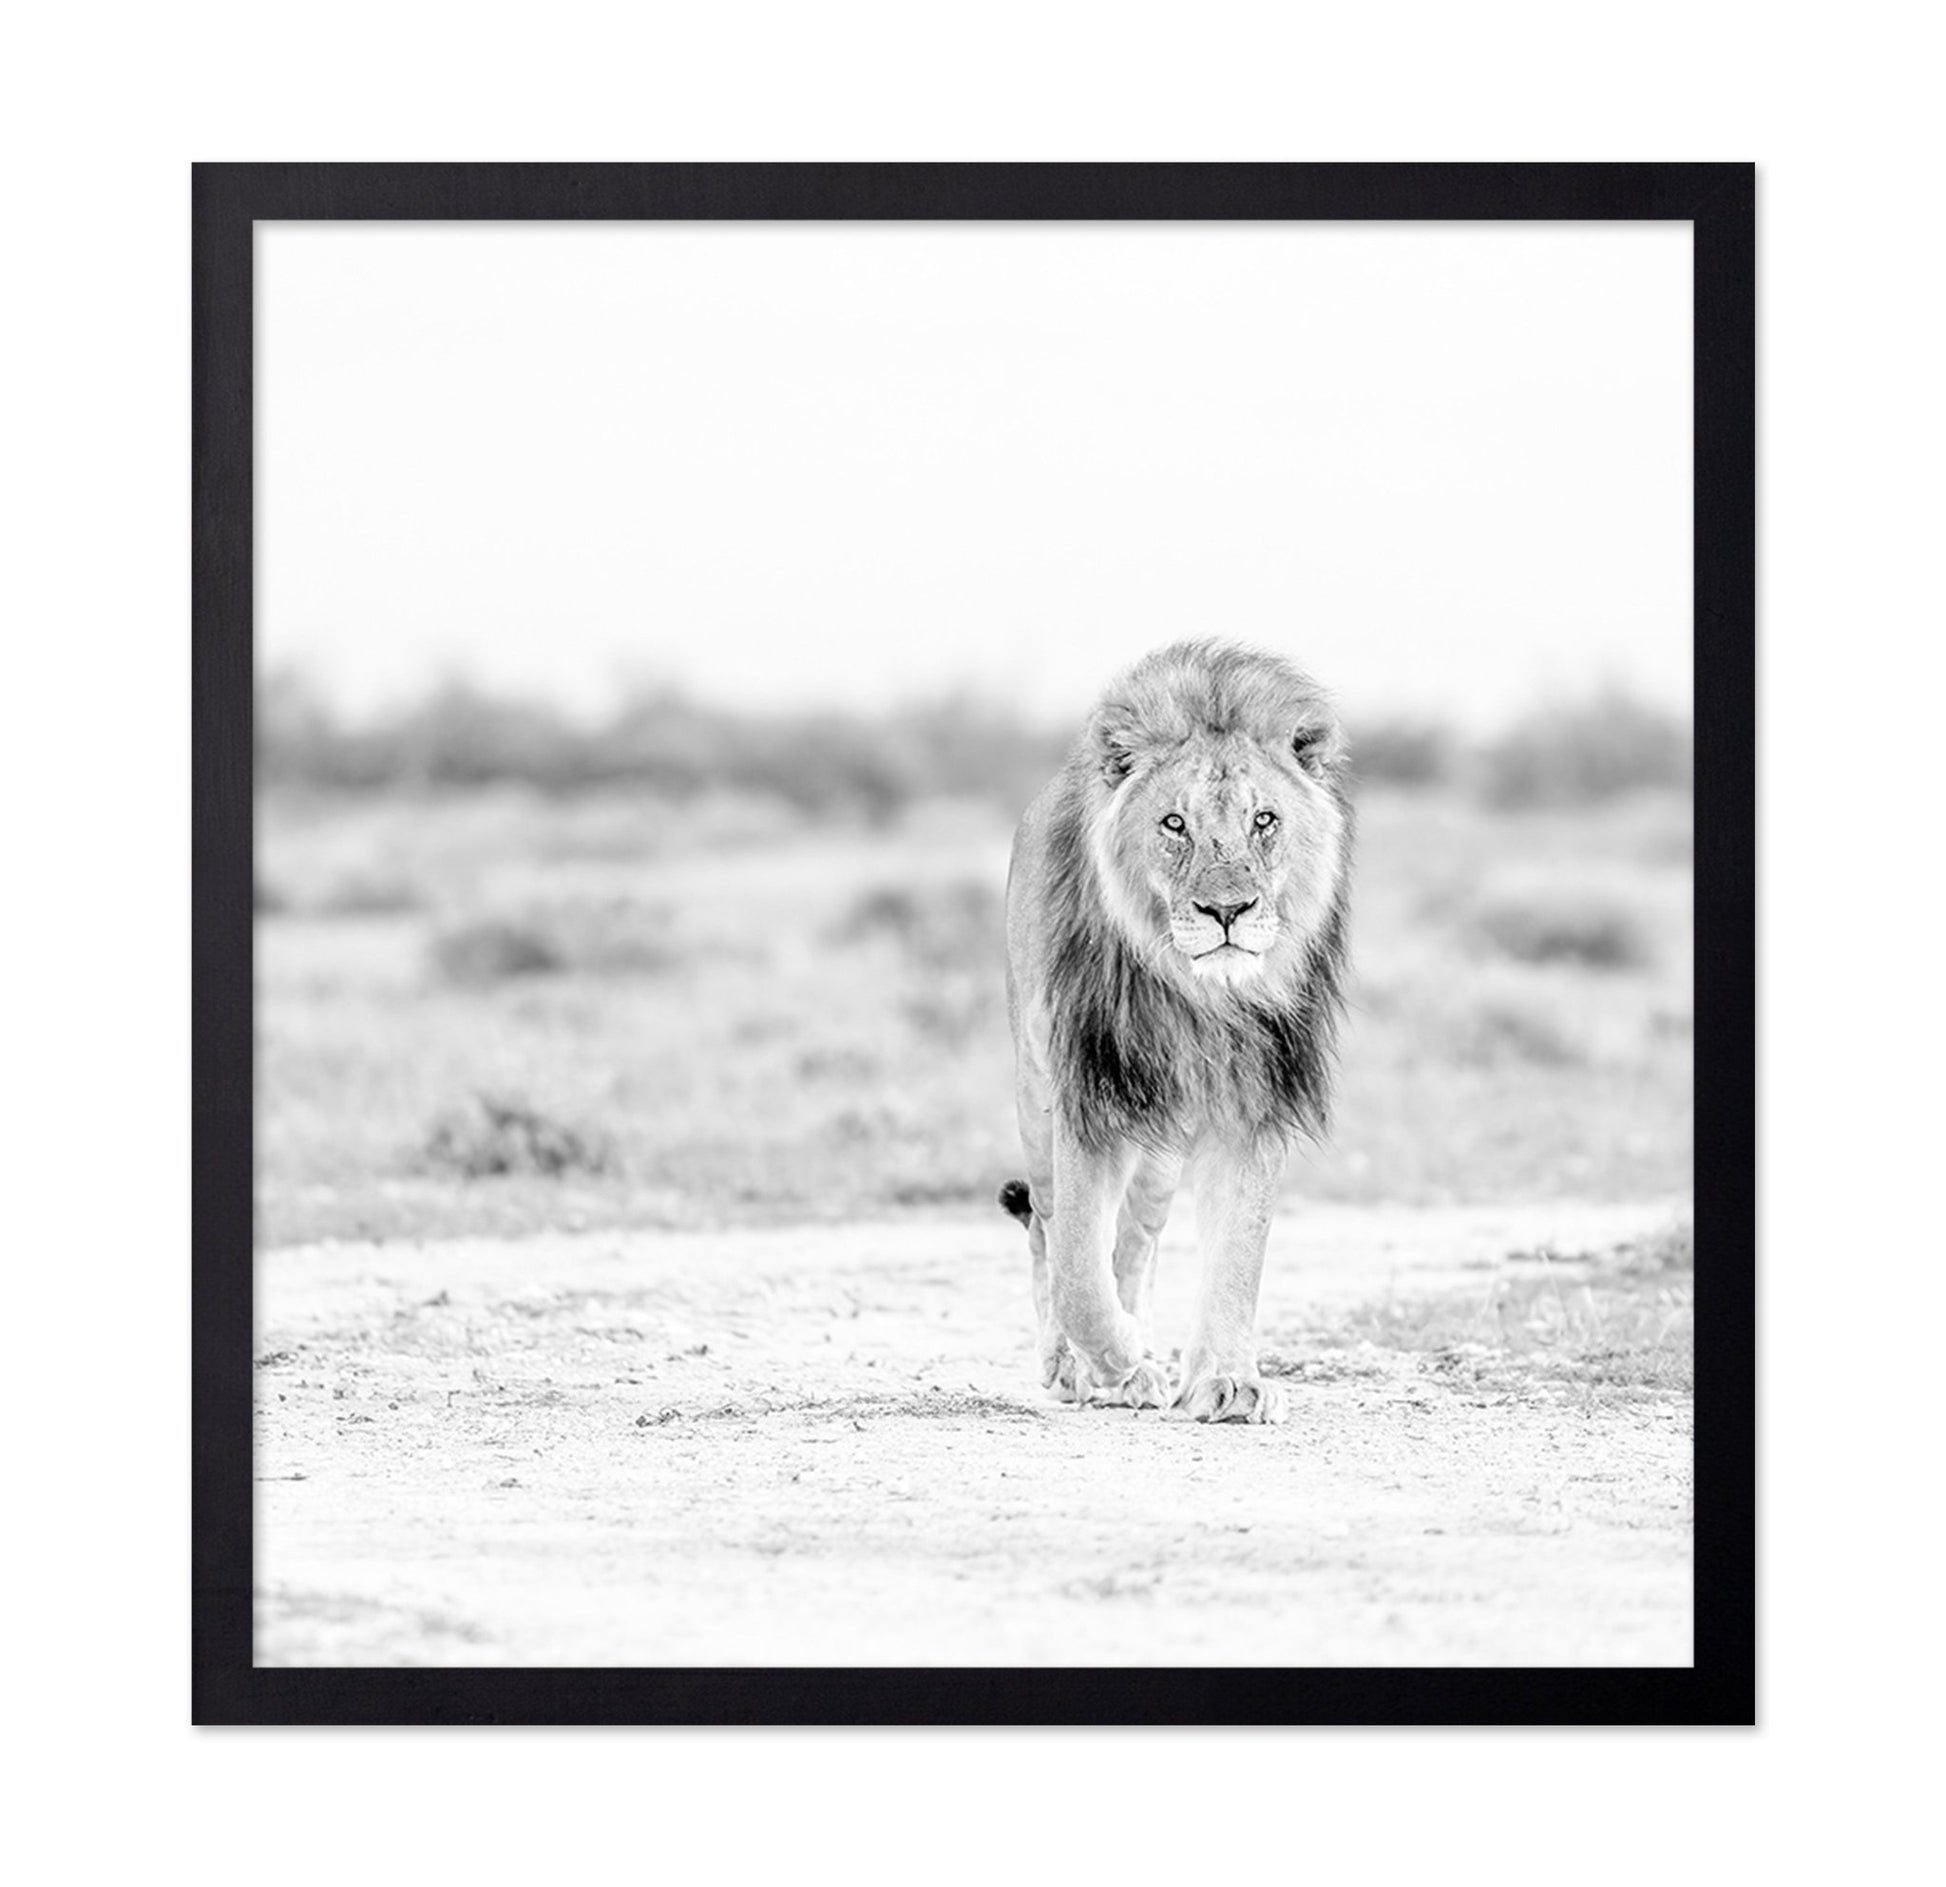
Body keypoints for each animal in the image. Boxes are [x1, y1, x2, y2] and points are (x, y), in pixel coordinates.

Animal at [999, 639, 1352, 1424]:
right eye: (1173, 824)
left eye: (1264, 820)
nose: (1228, 910)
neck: (1197, 997)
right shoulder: (1088, 1095)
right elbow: (1077, 1272)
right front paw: (1118, 1363)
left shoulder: (1253, 1103)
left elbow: (1237, 1256)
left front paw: (1227, 1380)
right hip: (1037, 1100)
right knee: (1047, 1226)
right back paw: (1079, 1366)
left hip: (1159, 1151)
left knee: (1136, 1240)